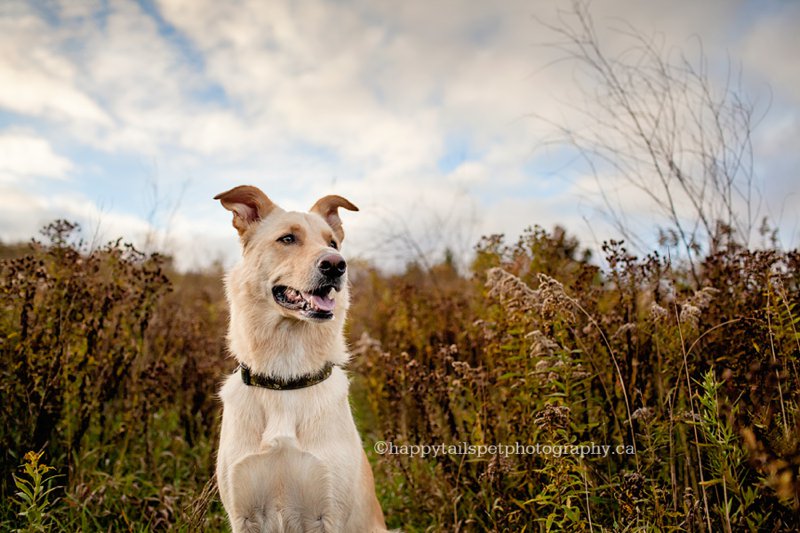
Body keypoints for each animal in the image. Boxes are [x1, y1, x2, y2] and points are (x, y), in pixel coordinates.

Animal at [212, 185, 388, 528]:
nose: (336, 265)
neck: (286, 377)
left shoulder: (328, 514)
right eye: (288, 239)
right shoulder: (243, 514)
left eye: (332, 243)